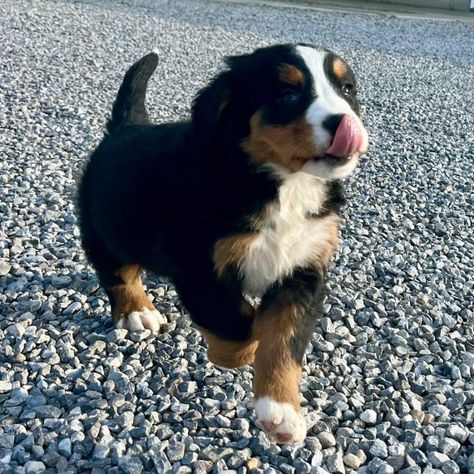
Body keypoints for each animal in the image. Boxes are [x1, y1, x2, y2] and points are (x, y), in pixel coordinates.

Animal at [78, 42, 368, 442]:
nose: (343, 122)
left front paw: (280, 411)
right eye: (288, 95)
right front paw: (240, 356)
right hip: (107, 226)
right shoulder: (200, 266)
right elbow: (237, 325)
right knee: (118, 273)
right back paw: (137, 311)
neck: (284, 186)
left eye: (347, 89)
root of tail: (126, 128)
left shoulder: (303, 269)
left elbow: (284, 340)